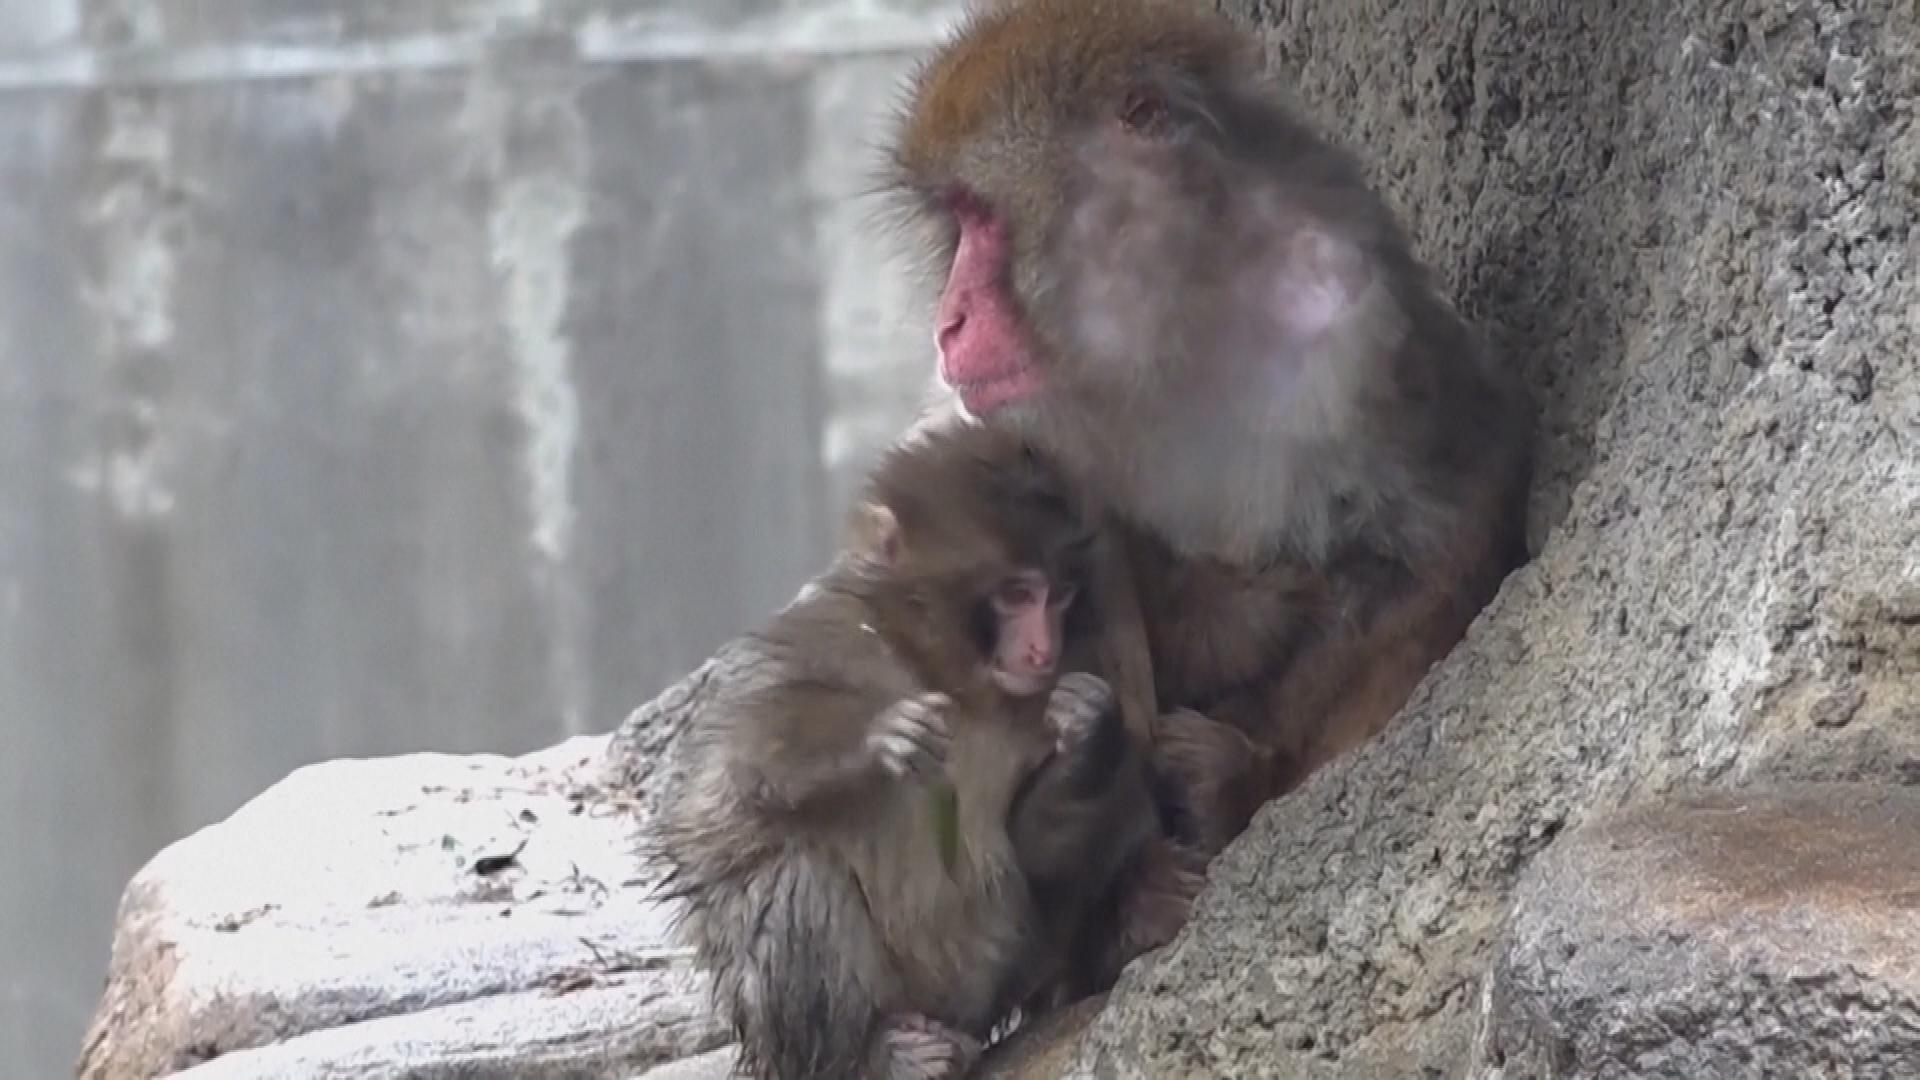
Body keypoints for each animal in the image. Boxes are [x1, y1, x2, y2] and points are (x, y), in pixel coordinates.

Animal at [652, 424, 1176, 1080]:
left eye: (1059, 595)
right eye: (1016, 594)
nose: (1041, 650)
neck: (944, 673)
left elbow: (1033, 851)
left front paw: (1091, 732)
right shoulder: (819, 633)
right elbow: (716, 795)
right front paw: (878, 739)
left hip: (980, 981)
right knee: (797, 874)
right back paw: (871, 1053)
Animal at [886, 0, 1533, 856]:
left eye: (979, 218)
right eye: (955, 226)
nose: (948, 323)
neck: (1179, 330)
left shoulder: (1348, 329)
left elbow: (1432, 540)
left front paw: (1235, 782)